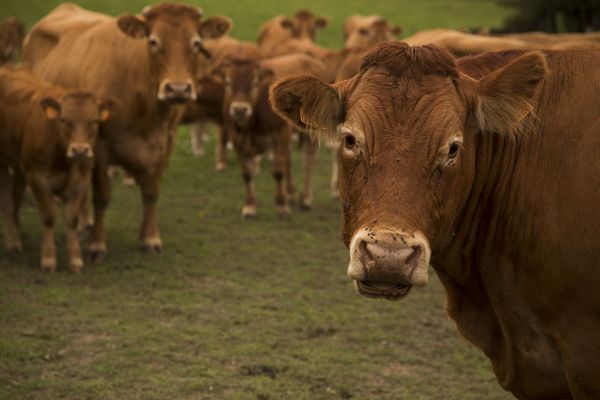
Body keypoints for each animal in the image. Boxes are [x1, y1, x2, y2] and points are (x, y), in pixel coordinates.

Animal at [0, 67, 111, 272]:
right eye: (64, 120)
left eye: (94, 120)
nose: (80, 149)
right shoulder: (37, 177)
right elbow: (49, 216)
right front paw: (48, 259)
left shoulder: (81, 179)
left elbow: (72, 218)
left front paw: (75, 261)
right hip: (2, 162)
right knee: (6, 200)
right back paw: (13, 243)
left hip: (19, 165)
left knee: (16, 195)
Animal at [24, 2, 230, 260]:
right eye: (153, 41)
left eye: (196, 43)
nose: (178, 89)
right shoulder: (100, 146)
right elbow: (102, 196)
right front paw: (97, 245)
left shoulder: (166, 143)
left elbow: (151, 193)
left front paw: (150, 238)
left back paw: (84, 222)